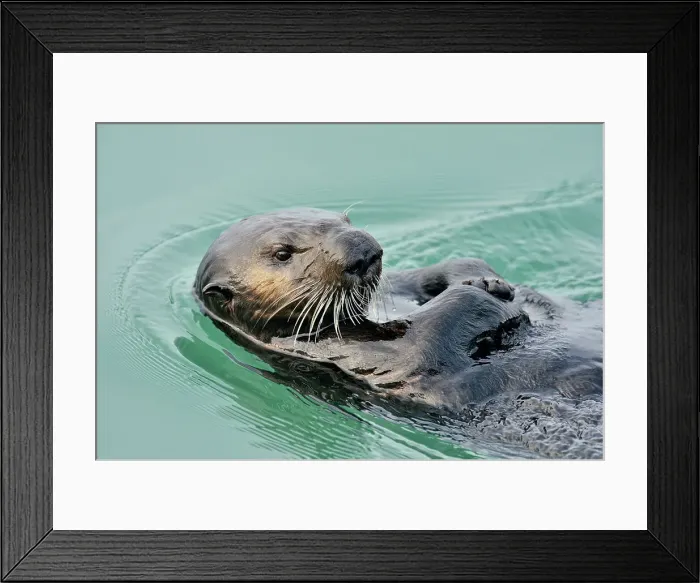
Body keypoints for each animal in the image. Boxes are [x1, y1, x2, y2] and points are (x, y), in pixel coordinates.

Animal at [194, 208, 603, 459]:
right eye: (282, 253)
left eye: (344, 218)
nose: (364, 250)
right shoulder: (342, 353)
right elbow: (429, 339)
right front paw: (484, 291)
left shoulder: (401, 287)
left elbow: (437, 272)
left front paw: (484, 277)